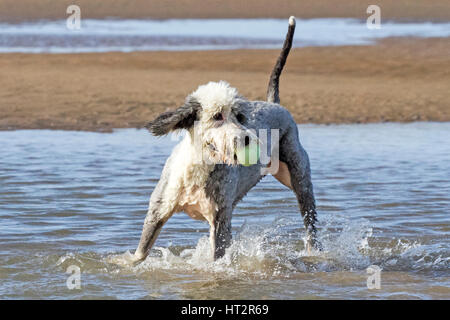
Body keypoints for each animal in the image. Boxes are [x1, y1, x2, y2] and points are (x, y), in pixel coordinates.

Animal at [132, 16, 318, 262]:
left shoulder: (220, 219)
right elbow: (140, 253)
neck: (199, 168)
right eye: (217, 116)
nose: (248, 140)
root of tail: (275, 104)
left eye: (239, 116)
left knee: (310, 223)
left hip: (300, 180)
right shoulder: (158, 209)